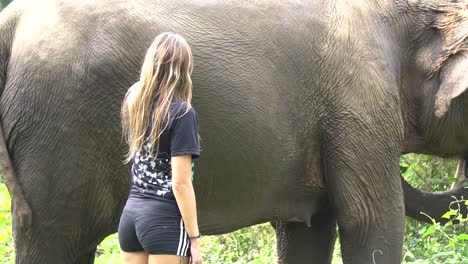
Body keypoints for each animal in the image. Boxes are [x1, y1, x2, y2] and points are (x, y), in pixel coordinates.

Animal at [0, 0, 468, 264]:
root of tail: (12, 19)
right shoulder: (359, 99)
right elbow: (370, 220)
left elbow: (307, 232)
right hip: (55, 127)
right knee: (55, 240)